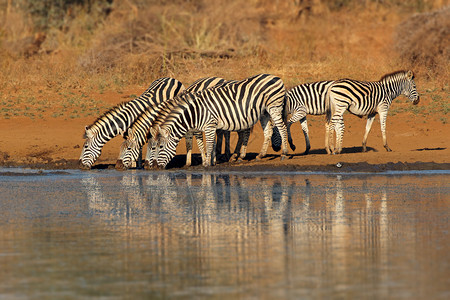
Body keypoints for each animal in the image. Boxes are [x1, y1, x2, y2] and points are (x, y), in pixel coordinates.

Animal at [155, 73, 288, 169]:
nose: (156, 167)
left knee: (282, 127)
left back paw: (284, 153)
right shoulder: (212, 126)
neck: (196, 112)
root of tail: (277, 77)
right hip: (264, 112)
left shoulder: (209, 125)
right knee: (268, 132)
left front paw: (207, 163)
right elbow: (213, 144)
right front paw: (212, 161)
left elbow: (209, 145)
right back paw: (260, 155)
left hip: (274, 107)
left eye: (160, 147)